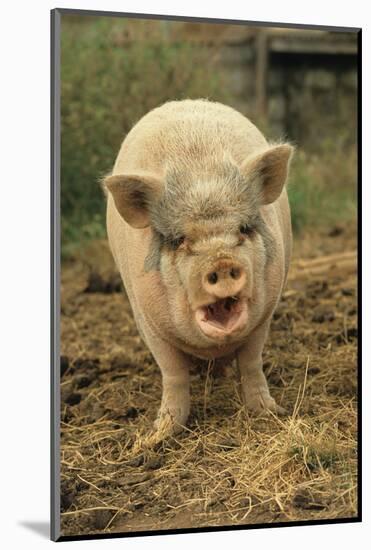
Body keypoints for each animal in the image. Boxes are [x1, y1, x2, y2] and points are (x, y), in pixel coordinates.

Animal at [103, 99, 294, 436]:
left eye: (244, 228)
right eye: (179, 240)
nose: (222, 261)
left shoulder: (265, 314)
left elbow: (252, 361)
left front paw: (272, 413)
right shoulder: (147, 319)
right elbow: (173, 373)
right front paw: (157, 435)